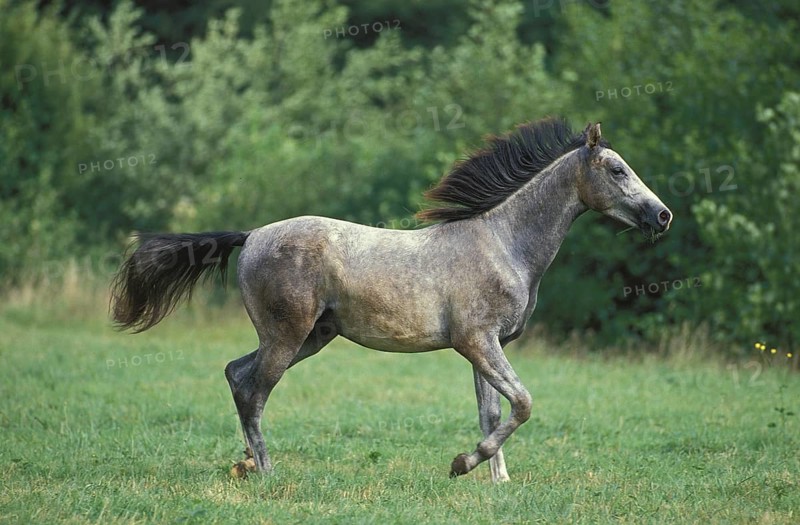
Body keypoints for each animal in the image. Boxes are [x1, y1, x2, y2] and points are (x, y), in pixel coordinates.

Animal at [111, 117, 672, 482]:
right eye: (617, 170)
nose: (662, 216)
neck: (504, 244)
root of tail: (250, 237)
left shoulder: (484, 347)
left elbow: (493, 413)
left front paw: (498, 484)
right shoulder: (478, 342)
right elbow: (523, 404)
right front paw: (462, 465)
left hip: (309, 337)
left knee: (234, 372)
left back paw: (245, 463)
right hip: (287, 335)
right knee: (253, 390)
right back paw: (266, 472)